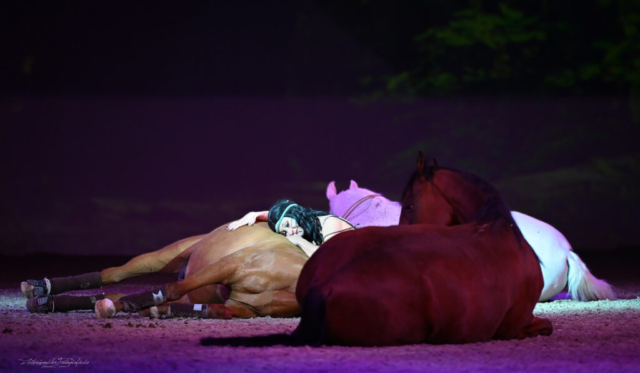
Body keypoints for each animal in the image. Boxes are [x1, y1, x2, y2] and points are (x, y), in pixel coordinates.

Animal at [22, 222, 308, 318]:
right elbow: (170, 289)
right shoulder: (229, 267)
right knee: (114, 274)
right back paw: (40, 288)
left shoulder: (240, 307)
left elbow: (208, 310)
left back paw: (46, 302)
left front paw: (152, 310)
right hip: (170, 256)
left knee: (111, 292)